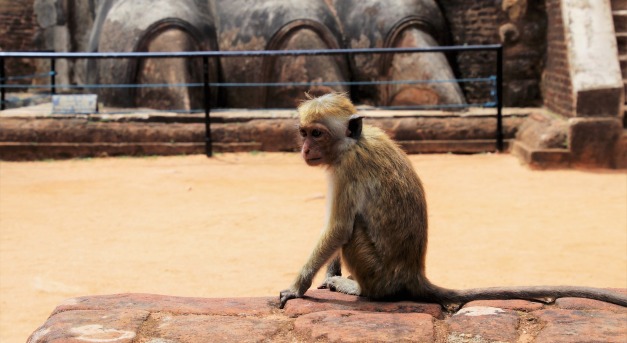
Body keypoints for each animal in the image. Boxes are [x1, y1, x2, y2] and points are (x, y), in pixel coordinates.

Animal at [280, 92, 627, 310]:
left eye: (317, 134)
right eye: (304, 132)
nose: (305, 149)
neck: (354, 142)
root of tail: (412, 274)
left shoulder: (347, 168)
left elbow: (339, 228)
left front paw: (298, 287)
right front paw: (328, 273)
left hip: (378, 274)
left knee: (354, 236)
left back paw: (361, 291)